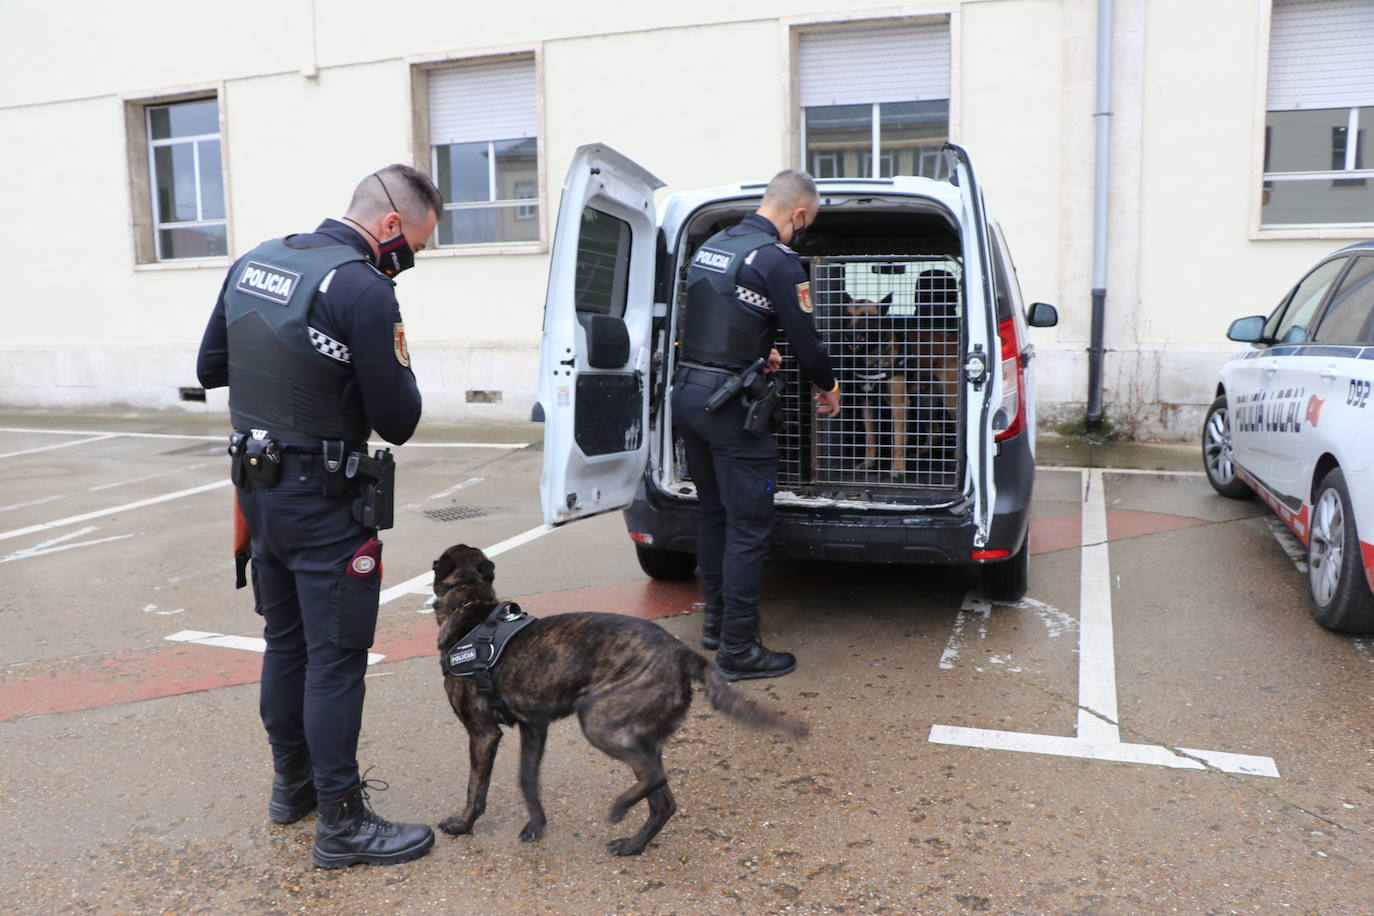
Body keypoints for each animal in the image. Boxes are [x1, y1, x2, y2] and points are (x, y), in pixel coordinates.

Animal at [431, 543, 802, 851]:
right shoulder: (534, 728)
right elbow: (528, 780)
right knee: (663, 800)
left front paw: (462, 824)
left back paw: (621, 808)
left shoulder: (483, 734)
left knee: (654, 776)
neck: (471, 607)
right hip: (641, 736)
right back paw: (633, 845)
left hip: (600, 722)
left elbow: (475, 788)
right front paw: (536, 825)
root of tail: (682, 653)